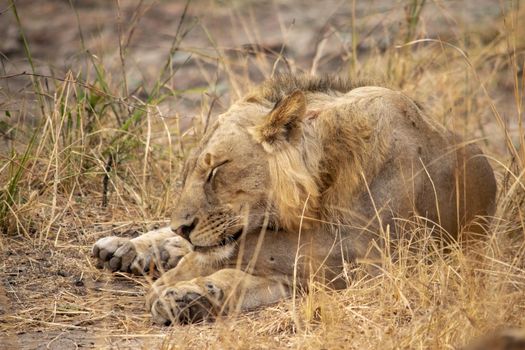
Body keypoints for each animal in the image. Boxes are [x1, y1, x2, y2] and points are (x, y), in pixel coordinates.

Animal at [93, 74, 496, 326]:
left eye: (217, 169)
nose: (182, 226)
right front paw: (180, 282)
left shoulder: (370, 253)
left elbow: (254, 256)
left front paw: (184, 289)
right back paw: (123, 248)